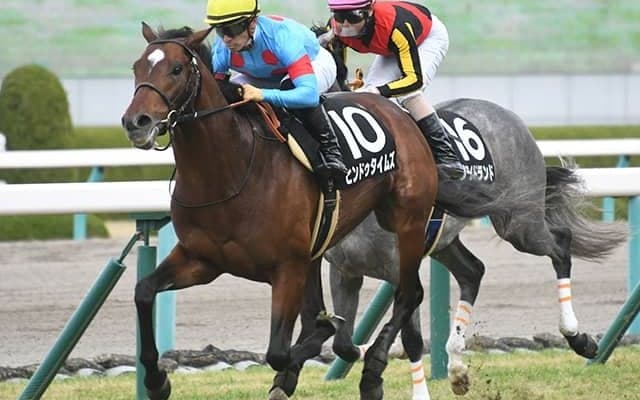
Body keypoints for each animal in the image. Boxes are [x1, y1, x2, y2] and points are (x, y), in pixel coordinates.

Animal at [121, 23, 439, 400]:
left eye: (176, 69)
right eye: (137, 67)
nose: (136, 122)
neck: (229, 173)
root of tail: (395, 110)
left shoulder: (287, 267)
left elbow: (280, 351)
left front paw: (328, 353)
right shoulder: (203, 260)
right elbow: (143, 291)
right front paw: (157, 382)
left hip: (408, 221)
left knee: (409, 292)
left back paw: (372, 372)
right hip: (319, 248)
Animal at [324, 98, 627, 397]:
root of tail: (508, 114)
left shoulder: (400, 270)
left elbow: (411, 338)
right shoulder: (345, 271)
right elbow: (343, 343)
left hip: (519, 224)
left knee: (561, 244)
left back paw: (577, 336)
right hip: (445, 241)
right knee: (472, 271)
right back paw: (457, 367)